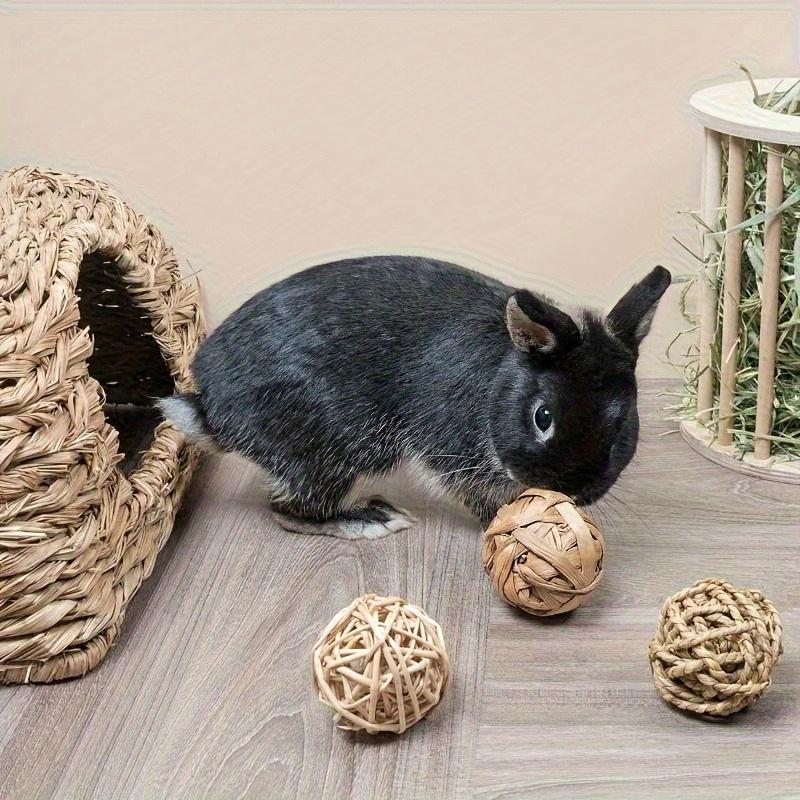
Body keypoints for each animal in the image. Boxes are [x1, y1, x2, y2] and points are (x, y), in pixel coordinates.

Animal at [159, 256, 671, 540]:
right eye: (542, 416)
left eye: (622, 427)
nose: (572, 491)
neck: (501, 373)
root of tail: (212, 409)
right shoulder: (452, 450)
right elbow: (476, 494)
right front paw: (507, 522)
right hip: (337, 447)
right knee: (290, 510)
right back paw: (371, 519)